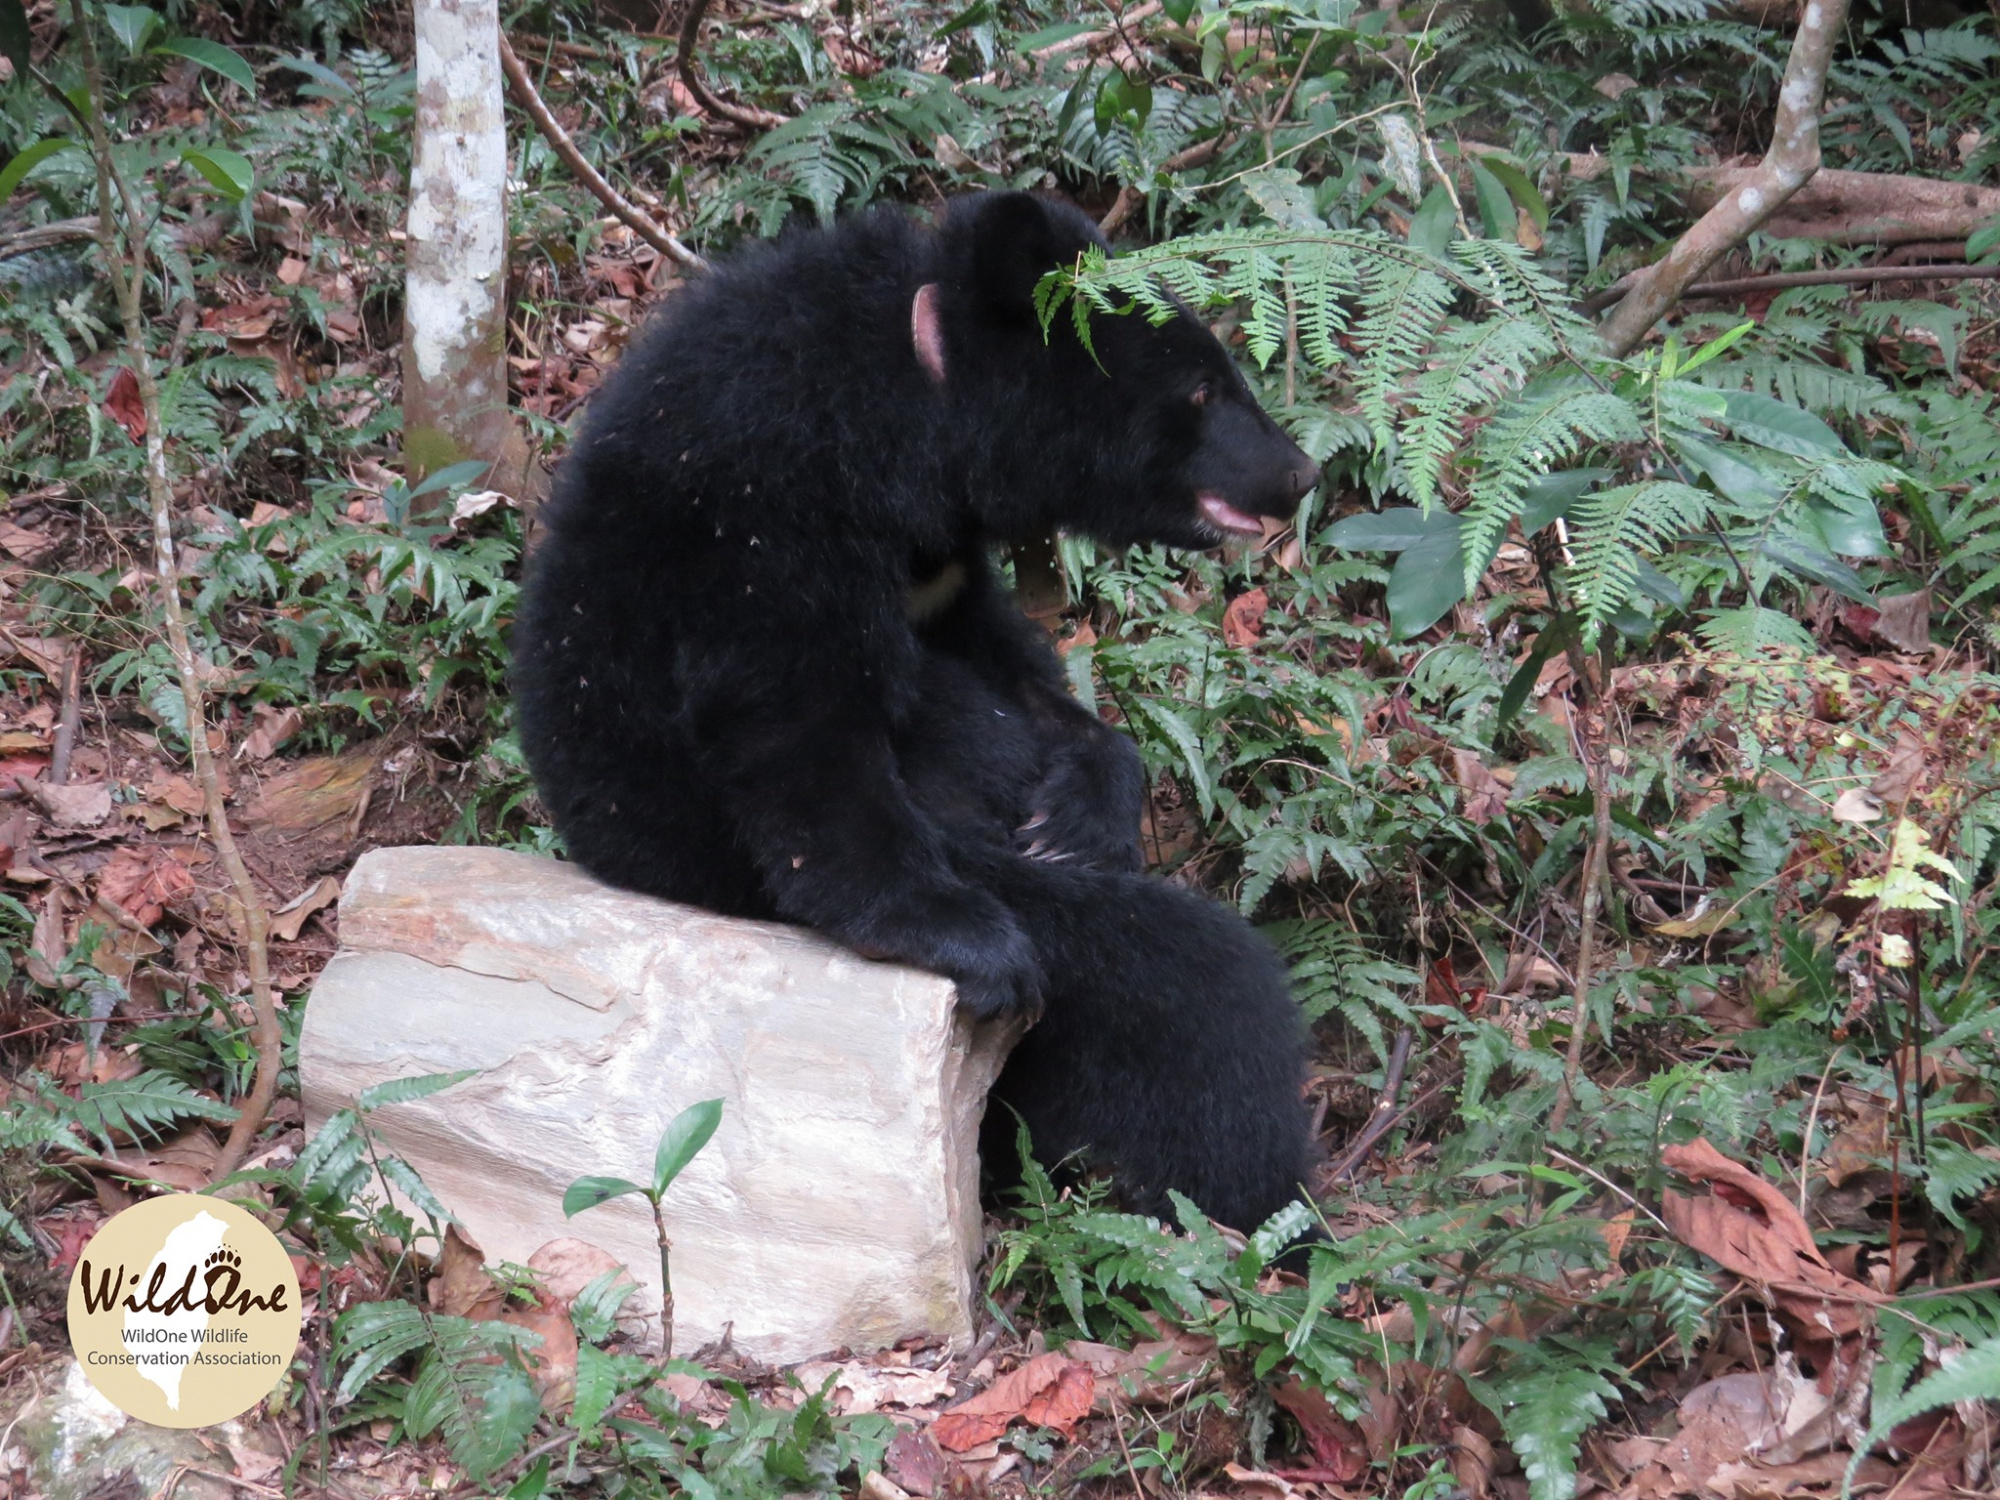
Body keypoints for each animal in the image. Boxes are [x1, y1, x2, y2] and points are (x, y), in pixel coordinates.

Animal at [516, 191, 1320, 1232]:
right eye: (1200, 391)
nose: (1299, 474)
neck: (918, 405)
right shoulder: (770, 498)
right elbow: (799, 735)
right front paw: (974, 940)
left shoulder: (937, 557)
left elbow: (1004, 658)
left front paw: (1082, 810)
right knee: (1185, 986)